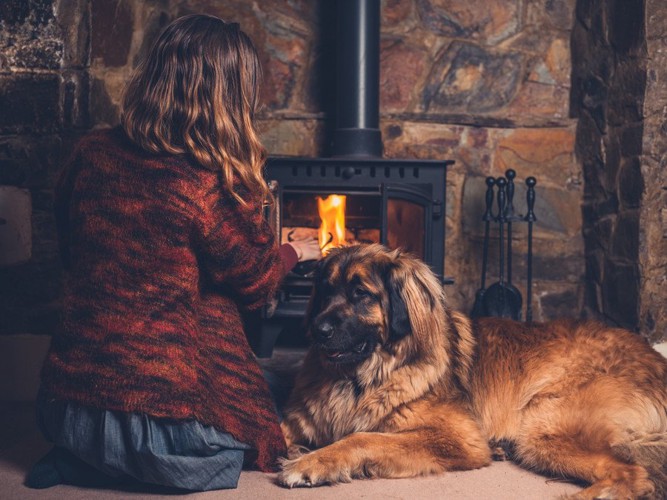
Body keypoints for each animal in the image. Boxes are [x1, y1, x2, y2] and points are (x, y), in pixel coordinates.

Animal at [280, 242, 667, 496]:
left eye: (361, 293)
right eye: (326, 290)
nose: (317, 329)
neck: (362, 377)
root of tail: (655, 358)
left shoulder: (457, 437)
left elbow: (362, 437)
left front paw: (309, 463)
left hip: (543, 424)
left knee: (634, 474)